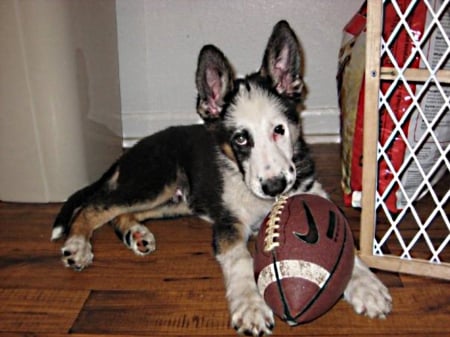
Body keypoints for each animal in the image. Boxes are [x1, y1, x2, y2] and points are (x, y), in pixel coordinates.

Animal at [51, 21, 390, 336]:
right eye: (240, 139)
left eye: (279, 130)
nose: (275, 186)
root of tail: (129, 152)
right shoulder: (228, 225)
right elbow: (240, 260)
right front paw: (251, 306)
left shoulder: (313, 193)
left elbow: (345, 242)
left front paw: (366, 285)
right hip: (156, 181)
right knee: (94, 207)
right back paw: (78, 246)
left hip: (175, 200)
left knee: (118, 214)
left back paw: (136, 234)